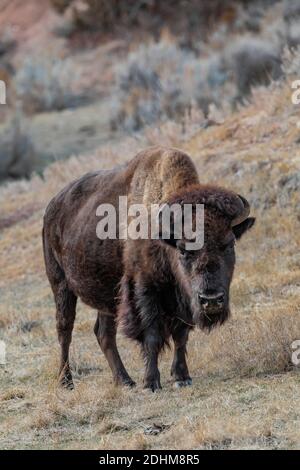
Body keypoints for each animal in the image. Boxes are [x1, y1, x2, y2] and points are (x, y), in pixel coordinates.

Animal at [43, 146, 255, 390]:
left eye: (229, 244)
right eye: (183, 249)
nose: (211, 300)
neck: (163, 237)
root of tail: (51, 209)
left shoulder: (182, 299)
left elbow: (181, 335)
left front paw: (182, 376)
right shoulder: (144, 290)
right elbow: (151, 335)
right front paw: (151, 382)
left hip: (108, 297)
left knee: (104, 333)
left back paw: (125, 380)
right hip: (60, 285)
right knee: (64, 330)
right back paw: (66, 381)